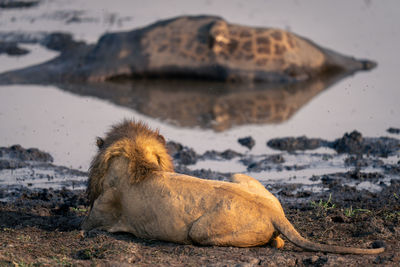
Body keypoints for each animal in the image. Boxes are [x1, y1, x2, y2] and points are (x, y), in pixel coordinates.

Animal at [81, 121, 384, 255]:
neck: (138, 163)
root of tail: (275, 214)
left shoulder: (97, 216)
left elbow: (82, 224)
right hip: (240, 175)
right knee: (279, 239)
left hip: (200, 232)